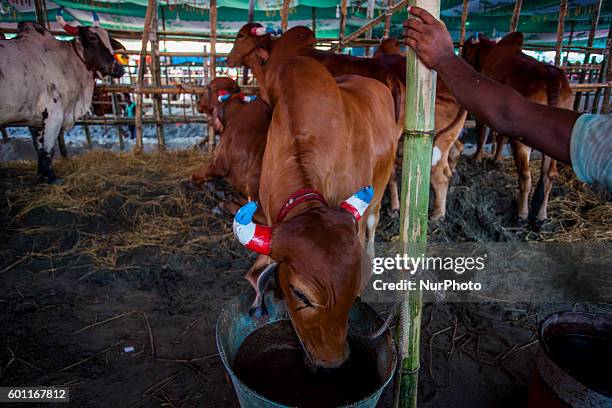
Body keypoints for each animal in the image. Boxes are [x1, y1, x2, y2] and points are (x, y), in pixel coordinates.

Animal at [464, 31, 572, 223]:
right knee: (550, 174)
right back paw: (541, 216)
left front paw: (476, 158)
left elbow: (482, 134)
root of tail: (552, 76)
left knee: (525, 175)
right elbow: (500, 137)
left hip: (523, 139)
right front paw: (496, 160)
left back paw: (521, 214)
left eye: (466, 47)